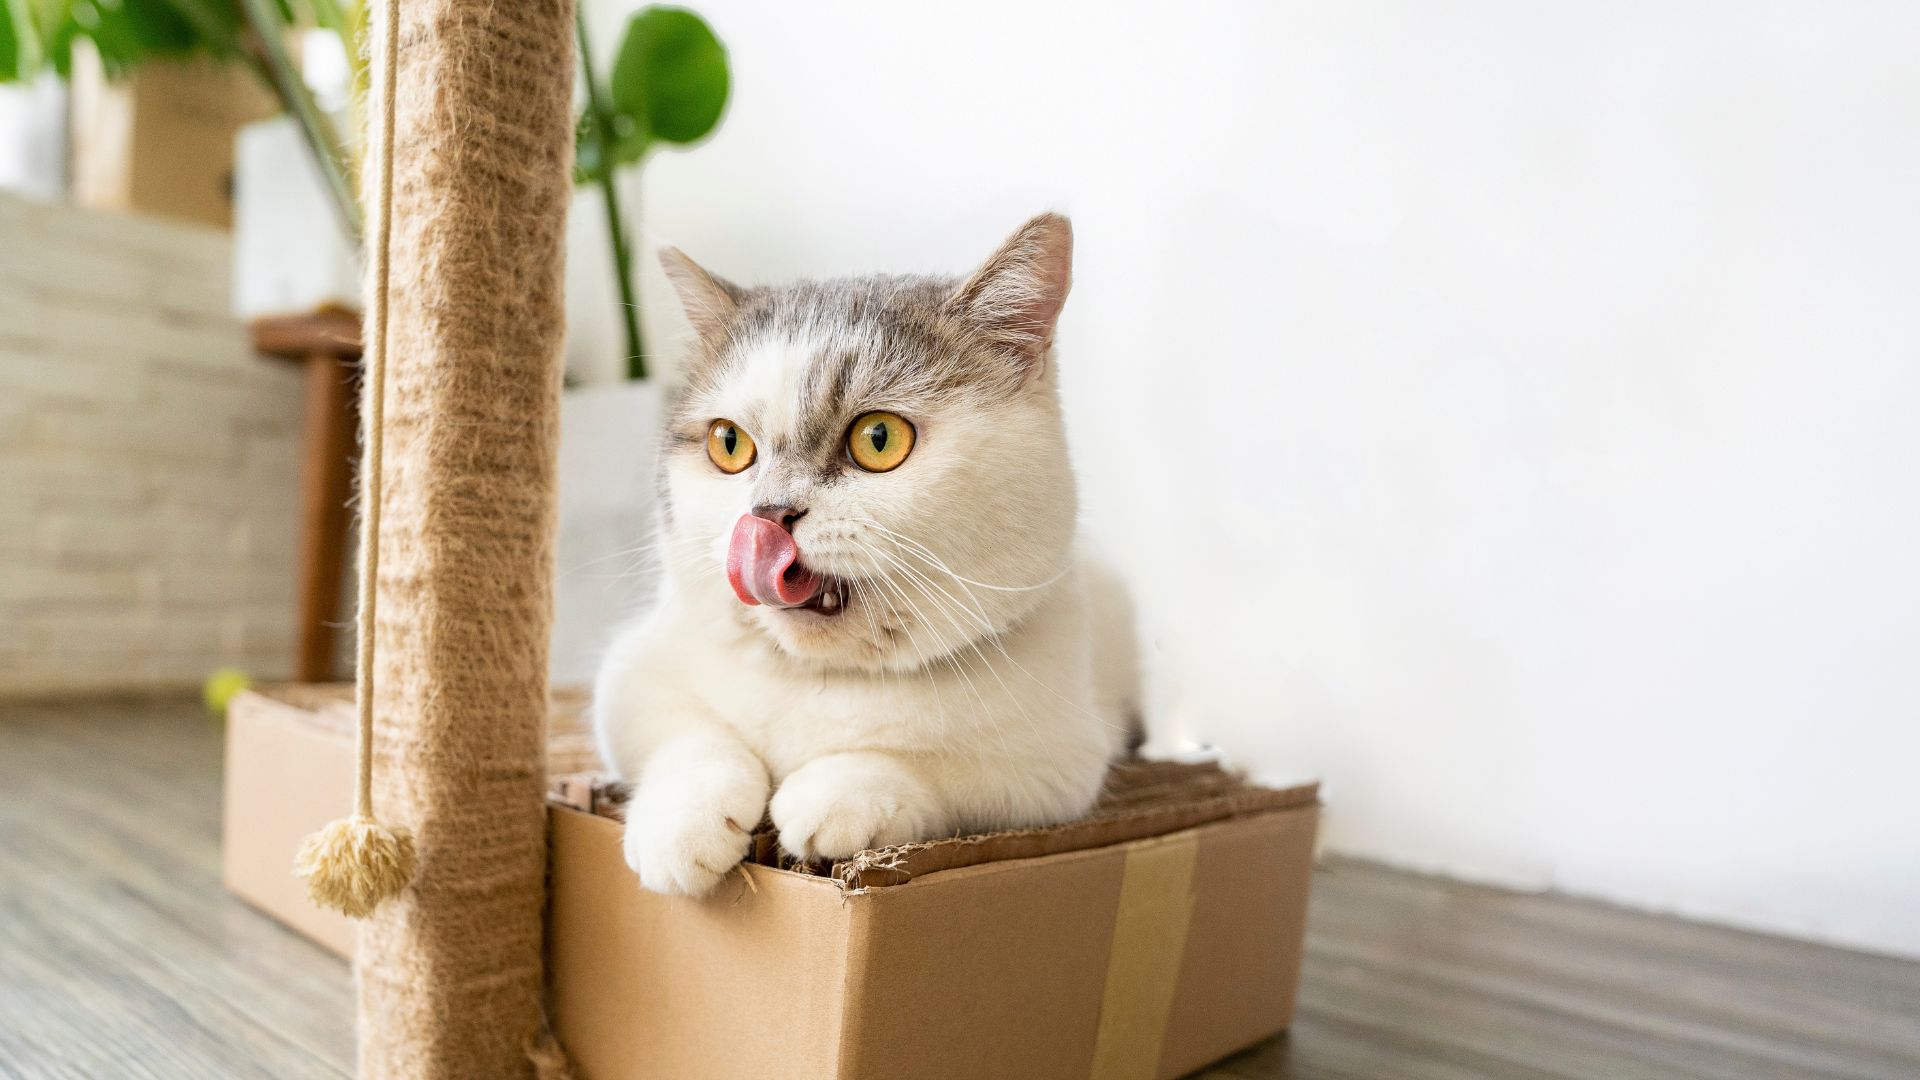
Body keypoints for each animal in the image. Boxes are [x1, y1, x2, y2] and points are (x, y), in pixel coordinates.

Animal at [591, 210, 1136, 891]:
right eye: (728, 444)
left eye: (879, 439)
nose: (767, 514)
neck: (824, 679)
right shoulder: (629, 679)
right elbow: (688, 737)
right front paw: (681, 828)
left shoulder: (1058, 765)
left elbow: (936, 770)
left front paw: (837, 796)